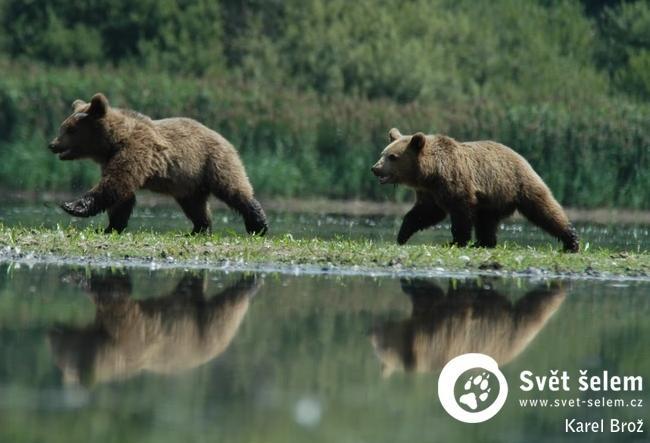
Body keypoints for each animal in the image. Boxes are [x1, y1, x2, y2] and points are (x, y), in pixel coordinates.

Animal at [47, 93, 266, 236]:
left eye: (69, 130)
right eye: (63, 127)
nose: (52, 145)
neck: (113, 142)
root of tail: (224, 138)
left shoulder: (136, 150)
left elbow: (114, 184)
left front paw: (72, 206)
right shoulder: (113, 159)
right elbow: (122, 195)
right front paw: (110, 226)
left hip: (212, 161)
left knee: (234, 190)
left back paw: (258, 224)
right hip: (189, 182)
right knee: (195, 206)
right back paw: (199, 229)